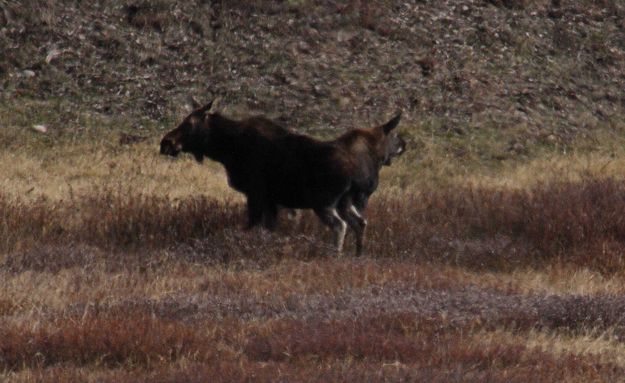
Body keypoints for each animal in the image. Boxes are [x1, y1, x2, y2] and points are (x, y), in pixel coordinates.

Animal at [160, 100, 404, 255]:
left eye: (189, 123)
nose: (166, 142)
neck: (227, 150)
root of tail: (356, 172)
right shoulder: (271, 200)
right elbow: (269, 229)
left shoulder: (256, 193)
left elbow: (252, 226)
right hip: (345, 202)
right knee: (360, 222)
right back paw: (357, 255)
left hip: (324, 202)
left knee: (340, 225)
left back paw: (334, 254)